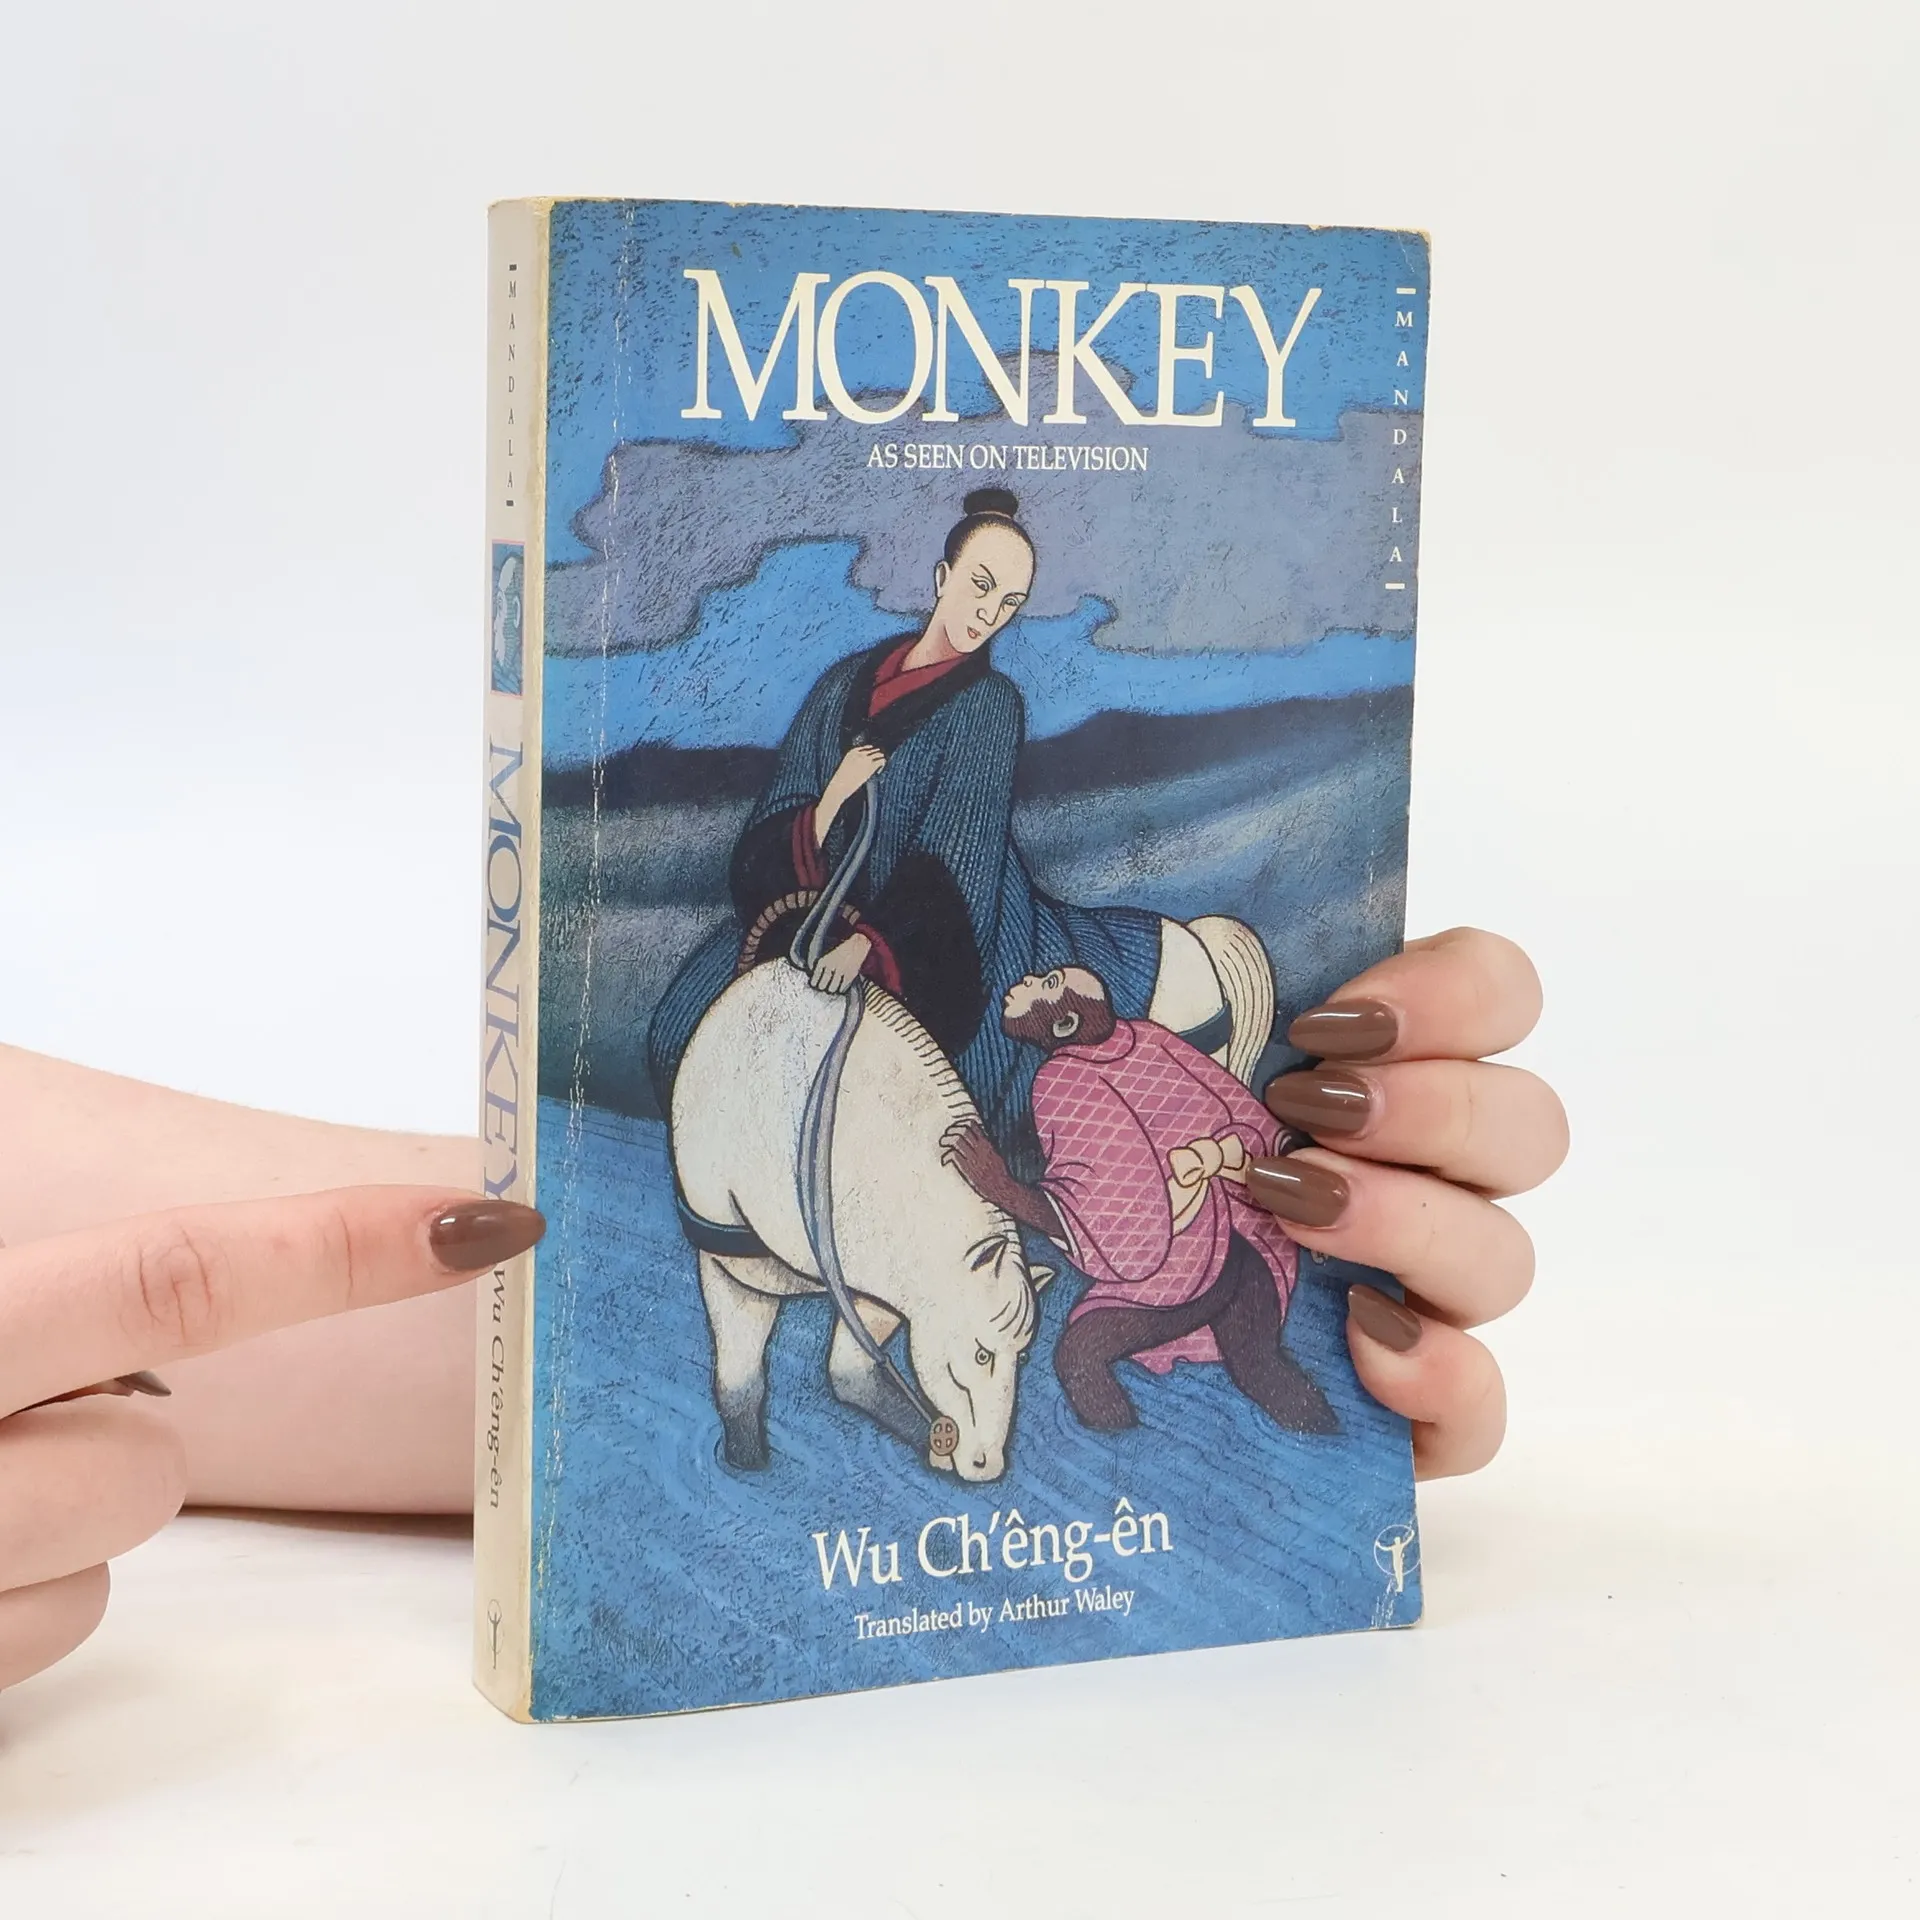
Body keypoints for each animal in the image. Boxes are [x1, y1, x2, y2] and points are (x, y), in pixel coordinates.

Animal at [670, 913, 1274, 1481]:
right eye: (983, 1353)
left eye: (1023, 1356)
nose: (988, 1466)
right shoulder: (737, 1275)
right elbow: (743, 1384)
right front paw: (747, 1462)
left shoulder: (888, 1288)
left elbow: (850, 1371)